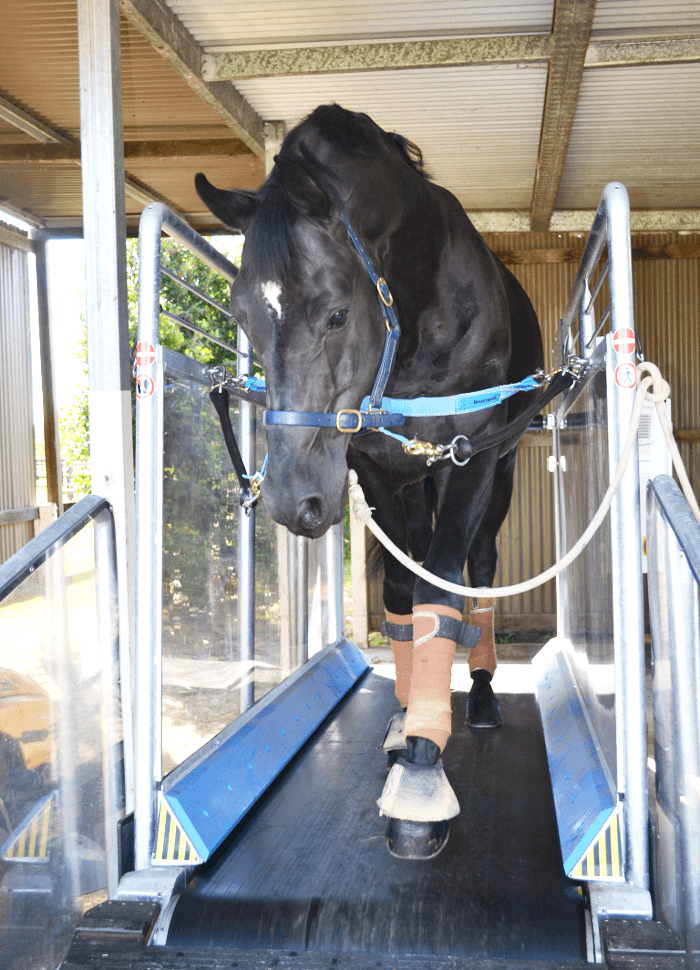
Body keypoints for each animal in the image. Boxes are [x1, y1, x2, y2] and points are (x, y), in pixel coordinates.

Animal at [194, 104, 544, 856]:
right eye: (242, 318)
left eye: (334, 312)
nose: (293, 499)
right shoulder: (379, 471)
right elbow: (404, 597)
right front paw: (407, 722)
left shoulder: (471, 461)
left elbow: (442, 591)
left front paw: (423, 770)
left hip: (498, 474)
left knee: (479, 568)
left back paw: (481, 694)